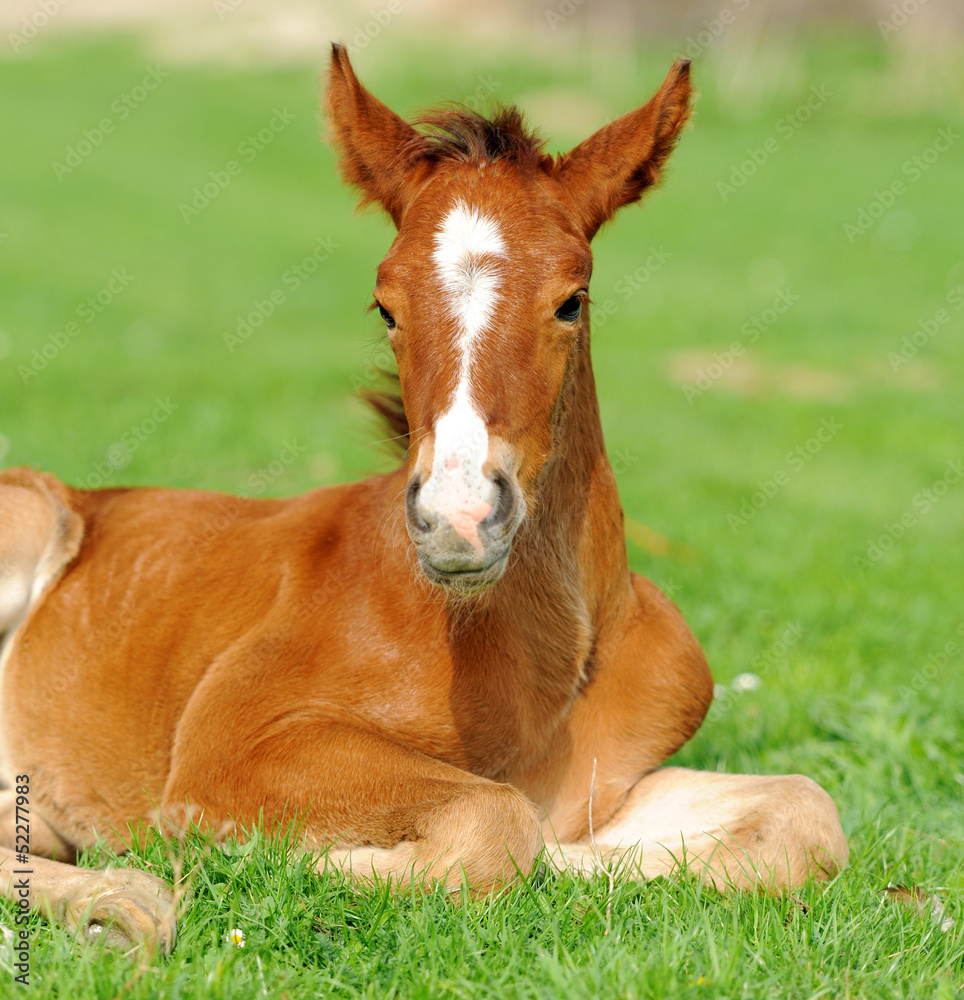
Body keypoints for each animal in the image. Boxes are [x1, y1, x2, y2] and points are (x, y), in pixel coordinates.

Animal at [0, 48, 844, 952]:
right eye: (385, 306)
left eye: (570, 300)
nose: (458, 522)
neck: (542, 657)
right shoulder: (233, 738)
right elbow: (497, 823)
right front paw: (261, 857)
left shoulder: (616, 778)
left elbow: (806, 811)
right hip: (31, 517)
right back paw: (126, 900)